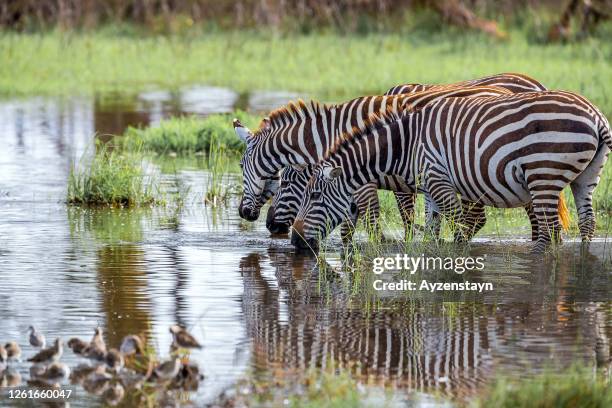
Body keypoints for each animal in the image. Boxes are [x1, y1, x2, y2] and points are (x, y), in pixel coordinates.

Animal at [292, 90, 608, 252]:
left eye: (315, 196)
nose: (295, 241)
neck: (406, 145)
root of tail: (595, 115)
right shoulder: (432, 187)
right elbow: (433, 233)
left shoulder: (439, 181)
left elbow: (458, 227)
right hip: (586, 177)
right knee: (587, 223)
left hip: (544, 175)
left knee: (550, 231)